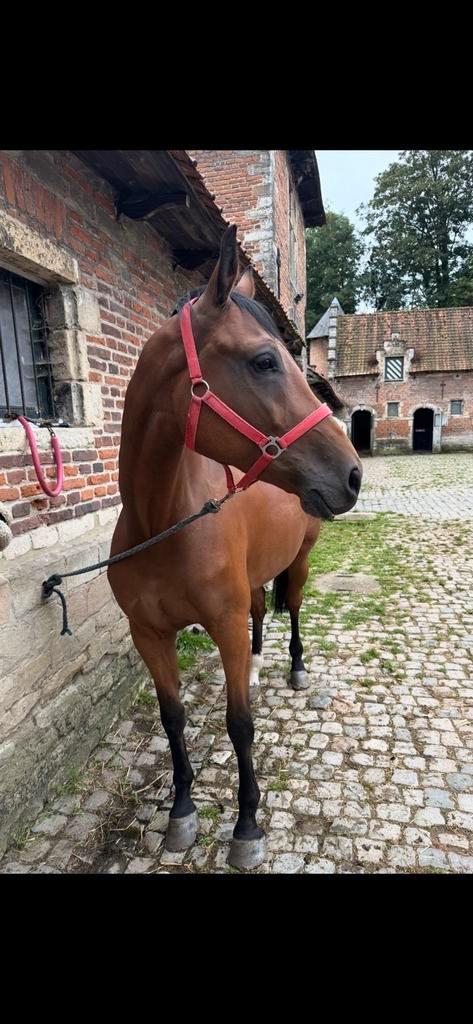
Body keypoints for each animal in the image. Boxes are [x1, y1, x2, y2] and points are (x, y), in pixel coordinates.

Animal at [108, 225, 362, 870]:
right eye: (265, 360)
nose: (352, 475)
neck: (161, 524)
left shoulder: (219, 625)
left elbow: (239, 724)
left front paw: (246, 826)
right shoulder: (149, 636)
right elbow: (172, 717)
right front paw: (180, 811)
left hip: (301, 561)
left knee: (290, 608)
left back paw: (293, 666)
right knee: (258, 610)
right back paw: (260, 655)